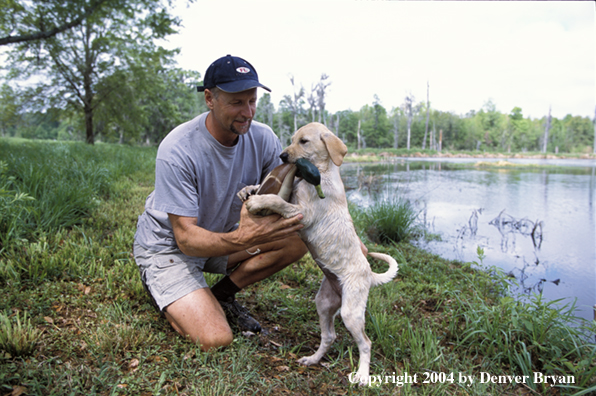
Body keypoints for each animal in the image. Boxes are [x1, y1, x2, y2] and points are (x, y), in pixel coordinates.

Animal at [240, 122, 398, 386]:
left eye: (303, 141)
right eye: (292, 139)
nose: (282, 156)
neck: (319, 173)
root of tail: (369, 274)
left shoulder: (302, 213)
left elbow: (275, 199)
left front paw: (258, 201)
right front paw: (247, 190)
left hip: (351, 312)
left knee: (366, 343)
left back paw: (362, 375)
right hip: (324, 303)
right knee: (329, 336)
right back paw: (313, 359)